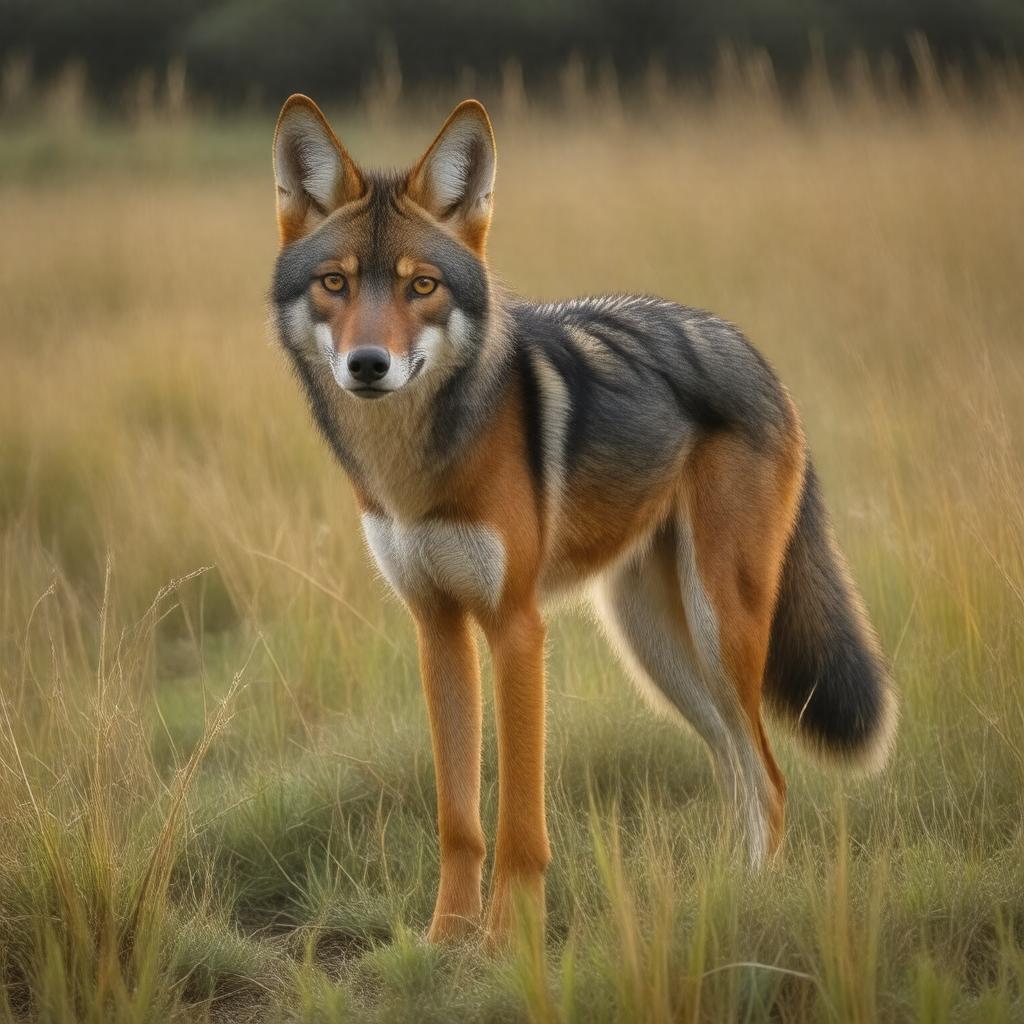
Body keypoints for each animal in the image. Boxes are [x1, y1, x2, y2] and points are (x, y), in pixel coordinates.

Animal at [270, 95, 896, 945]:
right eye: (335, 282)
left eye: (420, 286)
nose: (368, 365)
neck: (415, 465)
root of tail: (748, 349)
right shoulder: (437, 628)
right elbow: (459, 818)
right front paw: (445, 941)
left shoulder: (517, 627)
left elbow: (517, 823)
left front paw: (508, 943)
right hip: (658, 652)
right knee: (738, 770)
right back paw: (722, 897)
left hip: (718, 632)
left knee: (769, 779)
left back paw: (749, 902)